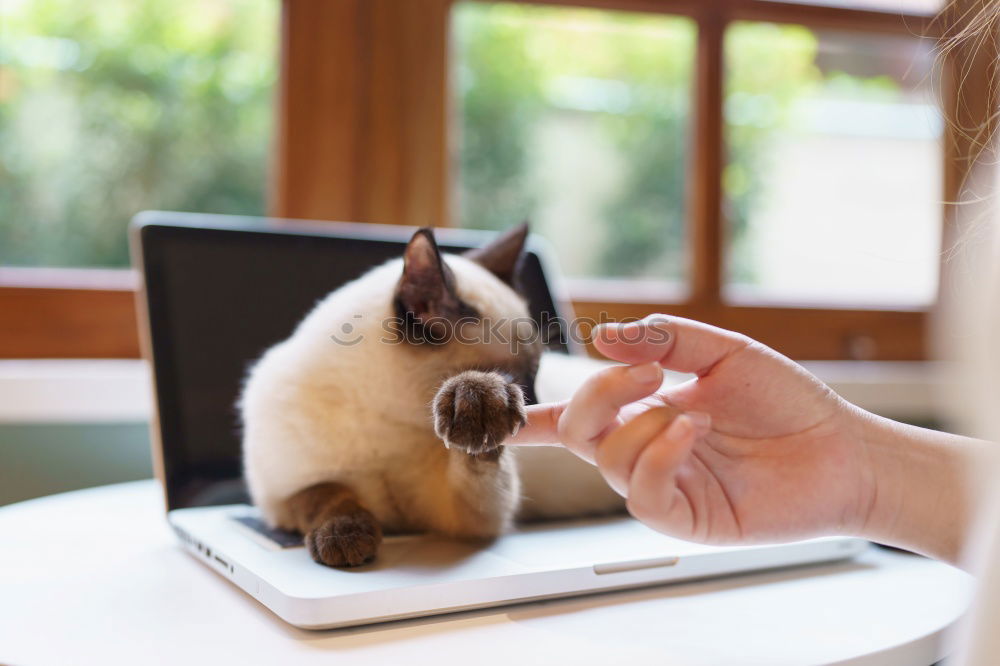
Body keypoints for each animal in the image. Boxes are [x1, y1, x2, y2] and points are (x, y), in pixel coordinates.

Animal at [238, 224, 620, 564]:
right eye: (518, 382)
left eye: (535, 374)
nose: (536, 416)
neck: (387, 423)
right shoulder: (279, 497)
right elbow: (328, 494)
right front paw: (345, 537)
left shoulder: (462, 517)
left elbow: (476, 462)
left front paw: (479, 402)